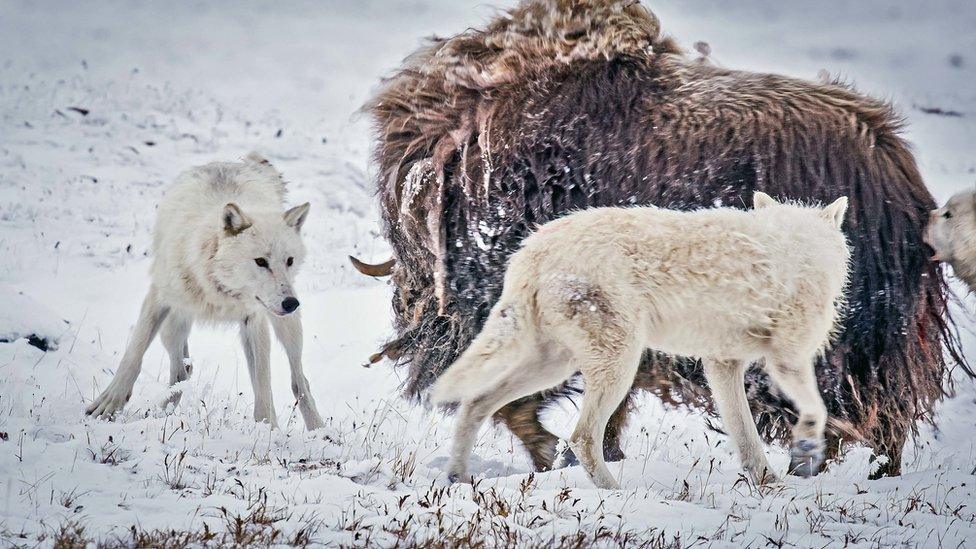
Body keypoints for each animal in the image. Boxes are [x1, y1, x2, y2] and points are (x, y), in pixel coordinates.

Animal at [86, 152, 326, 430]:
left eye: (289, 260)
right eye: (260, 261)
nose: (291, 303)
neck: (218, 288)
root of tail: (242, 162)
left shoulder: (254, 319)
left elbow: (264, 384)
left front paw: (267, 429)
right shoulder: (157, 298)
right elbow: (133, 353)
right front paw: (109, 403)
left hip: (286, 327)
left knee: (299, 380)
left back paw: (319, 430)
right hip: (174, 325)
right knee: (183, 370)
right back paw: (159, 415)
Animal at [430, 193, 852, 488]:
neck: (802, 246)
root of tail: (531, 251)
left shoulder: (723, 364)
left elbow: (746, 437)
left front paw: (767, 485)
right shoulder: (788, 359)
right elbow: (817, 411)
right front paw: (805, 451)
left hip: (552, 367)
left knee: (475, 403)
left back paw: (458, 478)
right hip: (617, 366)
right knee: (581, 438)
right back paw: (616, 492)